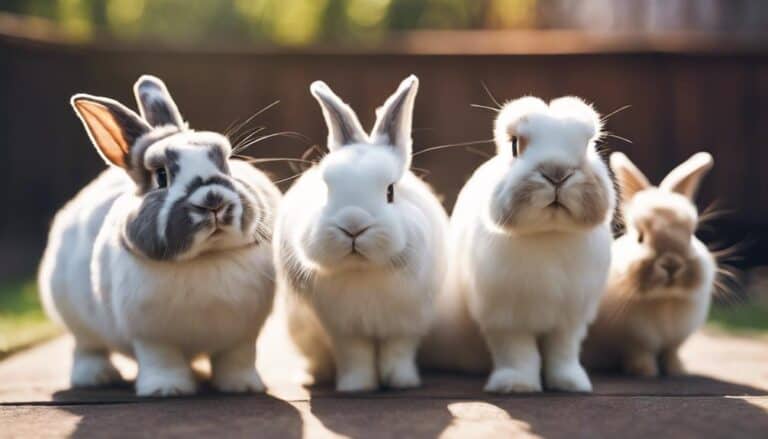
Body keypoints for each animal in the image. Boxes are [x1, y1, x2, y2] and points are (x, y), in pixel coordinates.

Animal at [37, 75, 281, 396]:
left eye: (226, 165)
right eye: (161, 177)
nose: (213, 200)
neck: (204, 257)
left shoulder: (242, 336)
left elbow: (238, 358)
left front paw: (243, 386)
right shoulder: (152, 337)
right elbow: (162, 360)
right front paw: (167, 389)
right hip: (76, 318)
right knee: (87, 348)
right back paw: (96, 377)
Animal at [274, 75, 449, 392]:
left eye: (390, 191)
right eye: (326, 188)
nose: (353, 225)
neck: (363, 271)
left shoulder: (406, 324)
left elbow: (398, 352)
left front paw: (402, 382)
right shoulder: (344, 330)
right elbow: (356, 356)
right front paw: (357, 386)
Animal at [421, 96, 615, 393]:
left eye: (588, 144)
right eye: (514, 145)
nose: (557, 173)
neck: (548, 233)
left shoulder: (570, 317)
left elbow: (563, 351)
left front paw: (570, 383)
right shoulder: (505, 318)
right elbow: (518, 352)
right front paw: (516, 385)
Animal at [581, 151, 716, 377]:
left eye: (691, 235)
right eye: (641, 238)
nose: (671, 264)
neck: (663, 299)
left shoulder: (673, 343)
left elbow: (671, 353)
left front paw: (677, 371)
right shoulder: (634, 342)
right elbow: (640, 354)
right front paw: (645, 371)